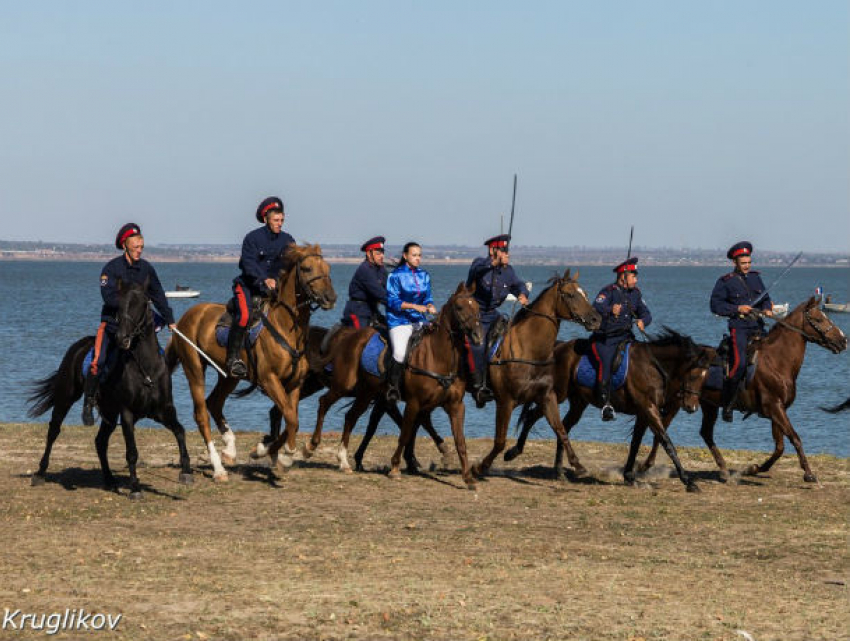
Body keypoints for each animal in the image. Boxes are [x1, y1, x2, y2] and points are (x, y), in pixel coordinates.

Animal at [27, 278, 193, 496]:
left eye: (142, 304)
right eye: (119, 306)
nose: (122, 337)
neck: (146, 368)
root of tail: (78, 346)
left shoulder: (163, 411)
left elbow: (180, 432)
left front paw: (186, 471)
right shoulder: (127, 413)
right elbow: (132, 452)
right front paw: (134, 488)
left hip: (109, 413)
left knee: (100, 441)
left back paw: (109, 479)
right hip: (66, 397)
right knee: (54, 430)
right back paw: (40, 472)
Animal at [164, 242, 336, 478]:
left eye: (327, 268)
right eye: (307, 268)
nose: (330, 298)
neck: (286, 328)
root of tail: (185, 318)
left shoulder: (294, 384)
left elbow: (291, 418)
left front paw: (270, 451)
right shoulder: (269, 380)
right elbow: (290, 418)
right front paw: (282, 455)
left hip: (230, 376)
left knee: (214, 403)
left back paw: (229, 449)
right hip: (195, 369)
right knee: (201, 414)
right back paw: (218, 468)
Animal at [464, 266, 604, 480]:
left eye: (585, 294)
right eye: (570, 295)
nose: (596, 319)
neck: (527, 350)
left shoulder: (546, 397)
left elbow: (560, 429)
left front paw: (577, 465)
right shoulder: (505, 402)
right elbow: (500, 441)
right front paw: (479, 467)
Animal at [500, 330, 712, 490]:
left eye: (705, 378)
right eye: (693, 376)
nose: (692, 407)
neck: (652, 366)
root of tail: (558, 347)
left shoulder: (643, 413)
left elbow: (636, 443)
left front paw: (629, 476)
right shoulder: (648, 408)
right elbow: (667, 442)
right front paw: (688, 481)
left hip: (578, 402)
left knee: (562, 427)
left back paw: (559, 471)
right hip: (557, 394)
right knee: (535, 417)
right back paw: (513, 453)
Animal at [640, 298, 844, 482]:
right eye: (818, 319)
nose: (843, 340)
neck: (776, 361)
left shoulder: (777, 411)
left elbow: (779, 447)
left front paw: (753, 468)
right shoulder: (775, 408)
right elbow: (795, 438)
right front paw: (808, 474)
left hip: (708, 405)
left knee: (705, 433)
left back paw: (723, 470)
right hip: (676, 403)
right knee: (661, 430)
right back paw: (646, 465)